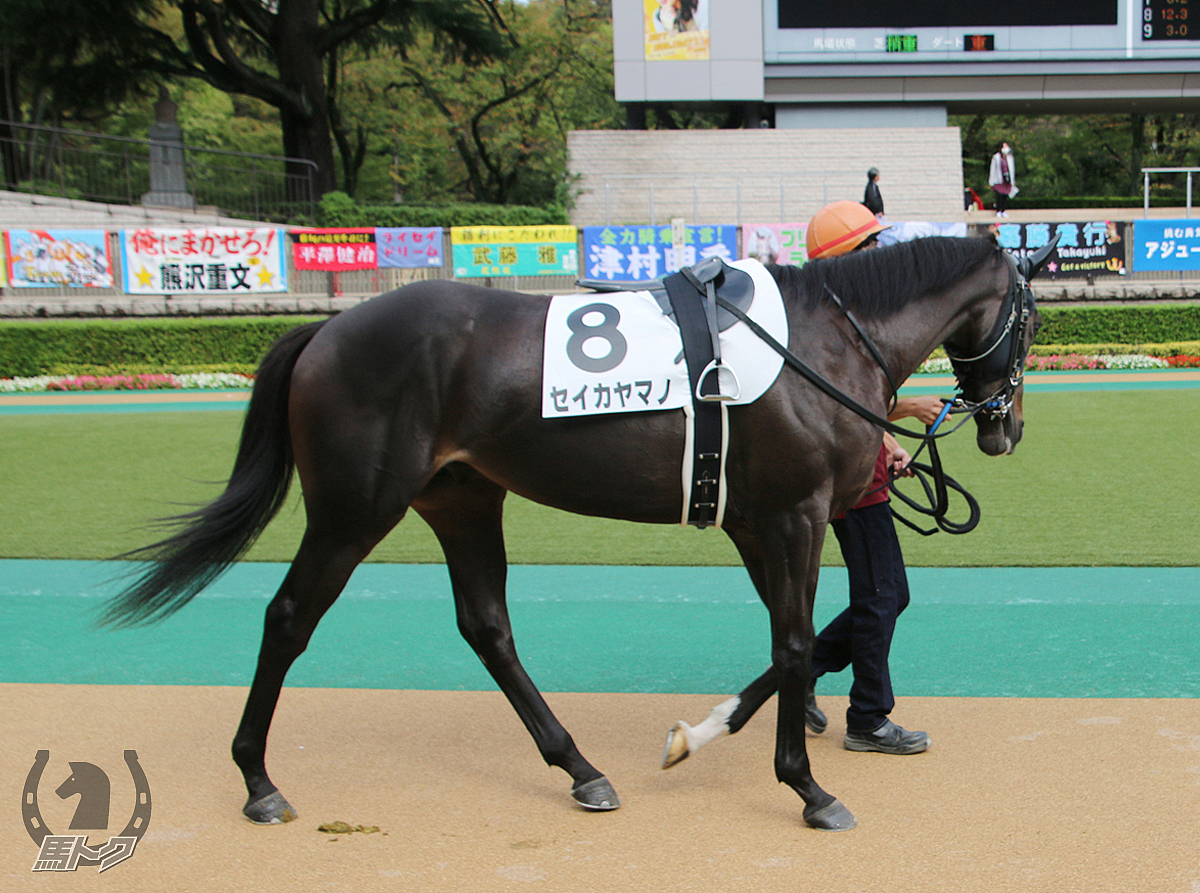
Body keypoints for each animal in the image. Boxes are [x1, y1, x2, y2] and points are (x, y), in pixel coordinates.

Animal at [105, 235, 1041, 830]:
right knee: (290, 616)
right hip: (353, 507)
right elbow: (796, 643)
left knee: (486, 624)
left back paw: (581, 768)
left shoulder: (754, 520)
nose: (1006, 427)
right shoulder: (794, 515)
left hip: (462, 497)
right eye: (1030, 322)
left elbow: (792, 648)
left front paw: (698, 736)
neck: (821, 342)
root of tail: (327, 329)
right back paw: (258, 779)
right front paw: (807, 788)